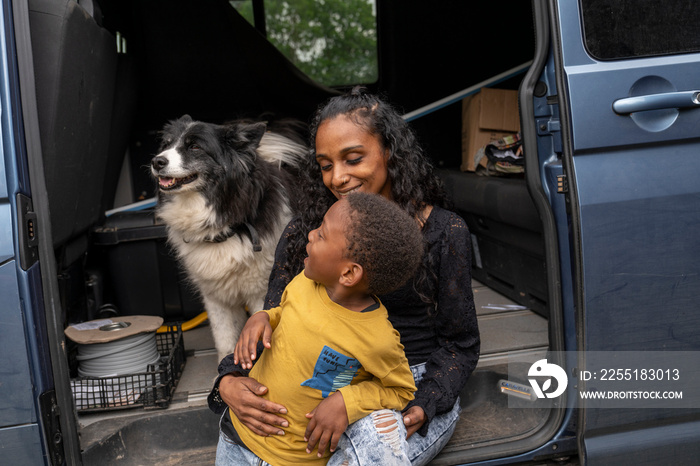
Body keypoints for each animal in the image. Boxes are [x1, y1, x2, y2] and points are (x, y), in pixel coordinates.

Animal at [150, 115, 306, 360]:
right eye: (166, 144)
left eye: (195, 147)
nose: (156, 161)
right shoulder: (216, 297)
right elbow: (225, 339)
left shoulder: (260, 291)